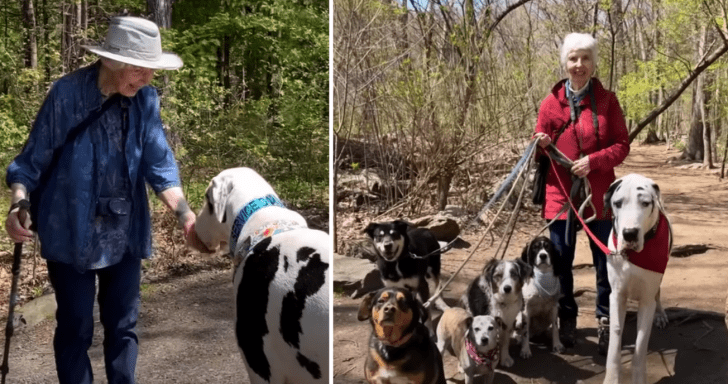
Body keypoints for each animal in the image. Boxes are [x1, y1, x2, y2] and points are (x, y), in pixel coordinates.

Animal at [604, 175, 672, 384]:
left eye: (645, 203)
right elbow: (615, 339)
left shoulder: (646, 301)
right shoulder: (616, 296)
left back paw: (660, 314)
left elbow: (641, 345)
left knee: (658, 294)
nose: (629, 233)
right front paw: (611, 378)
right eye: (617, 203)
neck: (632, 255)